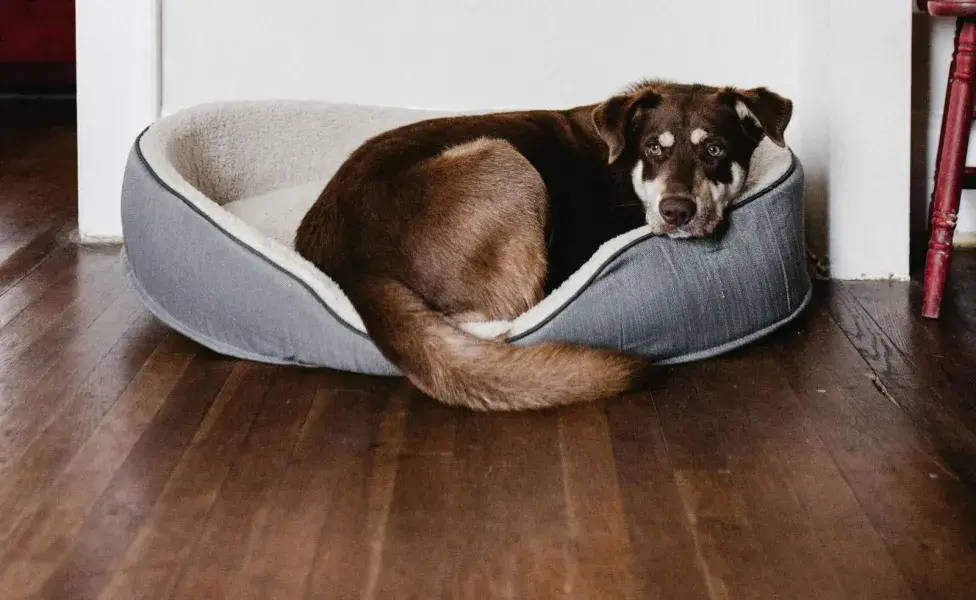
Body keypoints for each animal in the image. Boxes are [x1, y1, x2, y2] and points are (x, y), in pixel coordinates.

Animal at [294, 77, 788, 410]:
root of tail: (350, 265)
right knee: (509, 312)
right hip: (505, 160)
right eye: (654, 148)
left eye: (714, 150)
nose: (677, 211)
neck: (625, 167)